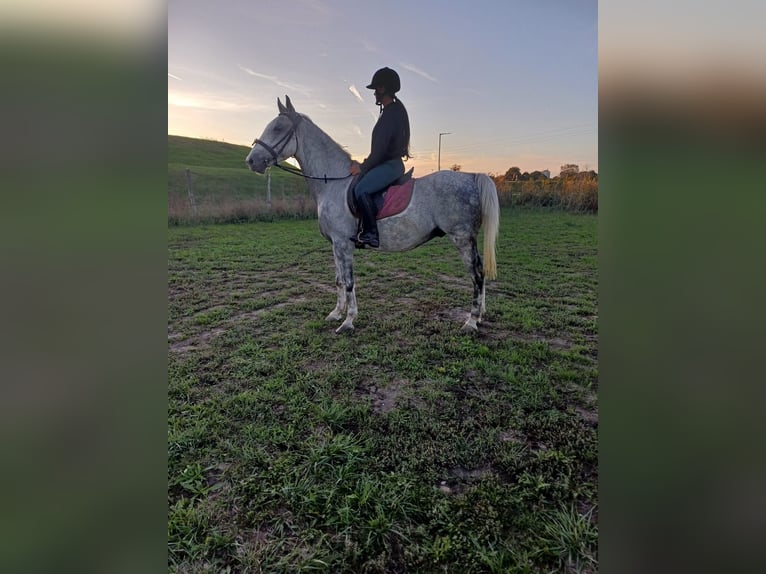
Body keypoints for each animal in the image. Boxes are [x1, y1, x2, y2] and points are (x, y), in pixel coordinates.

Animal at [243, 97, 500, 336]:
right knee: (480, 273)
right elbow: (338, 279)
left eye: (278, 128)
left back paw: (470, 322)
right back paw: (478, 317)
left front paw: (348, 321)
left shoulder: (343, 244)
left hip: (462, 238)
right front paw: (336, 313)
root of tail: (470, 176)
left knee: (477, 275)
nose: (251, 161)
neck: (333, 182)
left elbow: (349, 282)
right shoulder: (335, 245)